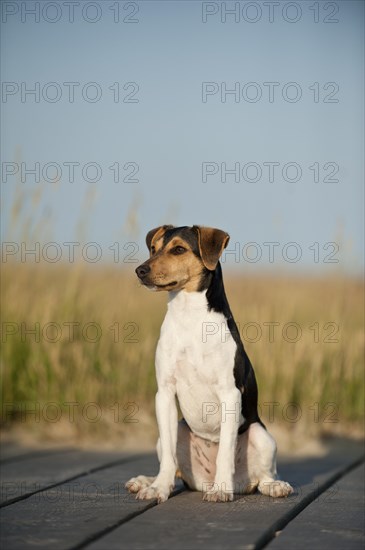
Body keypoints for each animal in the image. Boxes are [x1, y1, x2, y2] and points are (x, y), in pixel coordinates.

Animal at [125, 225, 292, 504]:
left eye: (178, 249)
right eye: (153, 248)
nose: (140, 270)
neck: (188, 318)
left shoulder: (229, 394)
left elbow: (225, 451)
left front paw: (221, 489)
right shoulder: (165, 393)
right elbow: (168, 459)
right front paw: (158, 488)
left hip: (262, 435)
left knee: (265, 476)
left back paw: (273, 486)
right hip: (175, 430)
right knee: (174, 467)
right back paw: (144, 481)